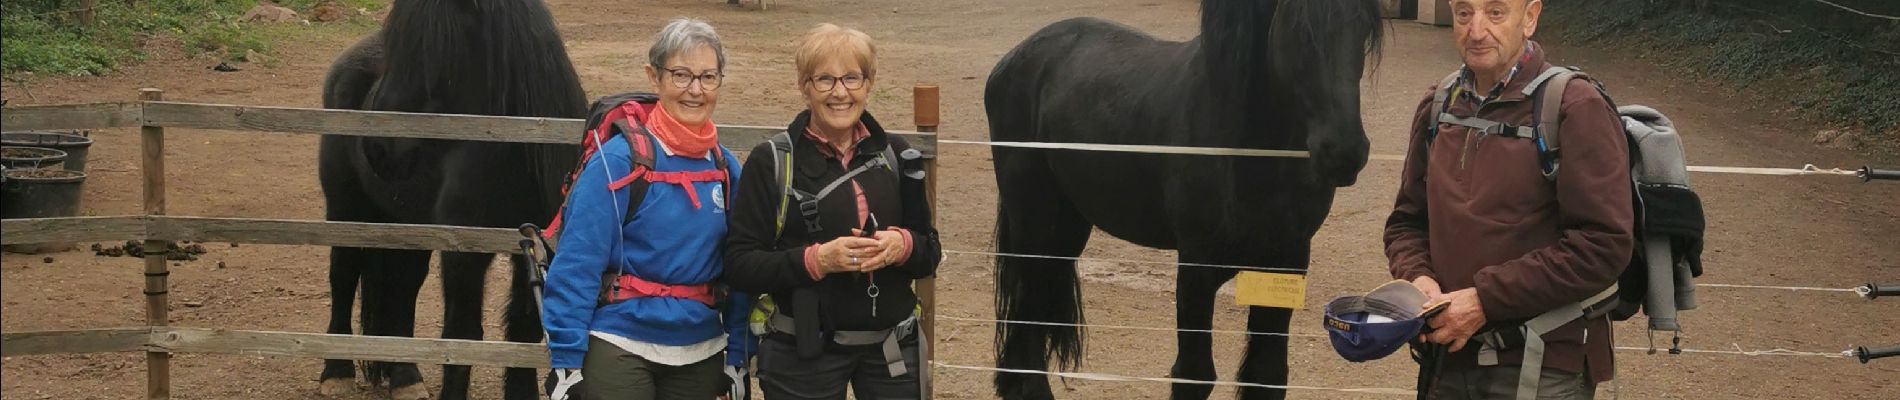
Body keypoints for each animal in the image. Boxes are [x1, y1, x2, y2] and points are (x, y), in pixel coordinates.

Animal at [315, 1, 581, 398]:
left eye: (429, 48)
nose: (377, 149)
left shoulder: (534, 247)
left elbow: (524, 328)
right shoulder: (464, 252)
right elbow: (462, 333)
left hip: (407, 222)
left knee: (403, 286)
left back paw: (405, 377)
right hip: (344, 206)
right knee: (344, 274)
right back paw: (336, 372)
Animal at [988, 0, 1390, 400]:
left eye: (1363, 29)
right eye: (1300, 28)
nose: (1344, 153)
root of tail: (1012, 60)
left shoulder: (1286, 261)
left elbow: (1267, 374)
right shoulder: (1197, 266)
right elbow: (1194, 374)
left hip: (1067, 226)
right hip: (1035, 221)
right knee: (1028, 308)